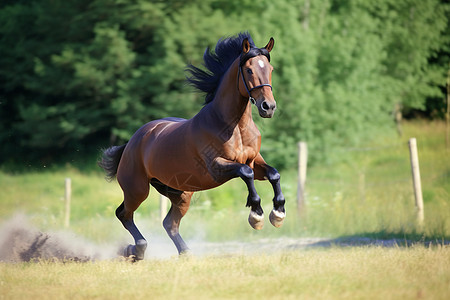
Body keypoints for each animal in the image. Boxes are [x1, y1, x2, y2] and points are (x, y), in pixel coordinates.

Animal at [100, 31, 286, 258]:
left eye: (270, 69)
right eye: (249, 69)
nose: (268, 107)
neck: (234, 127)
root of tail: (132, 141)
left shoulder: (254, 160)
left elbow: (273, 173)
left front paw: (278, 213)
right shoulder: (217, 168)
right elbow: (246, 173)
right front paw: (256, 215)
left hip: (180, 193)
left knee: (169, 223)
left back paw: (184, 252)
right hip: (137, 189)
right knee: (124, 214)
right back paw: (136, 249)